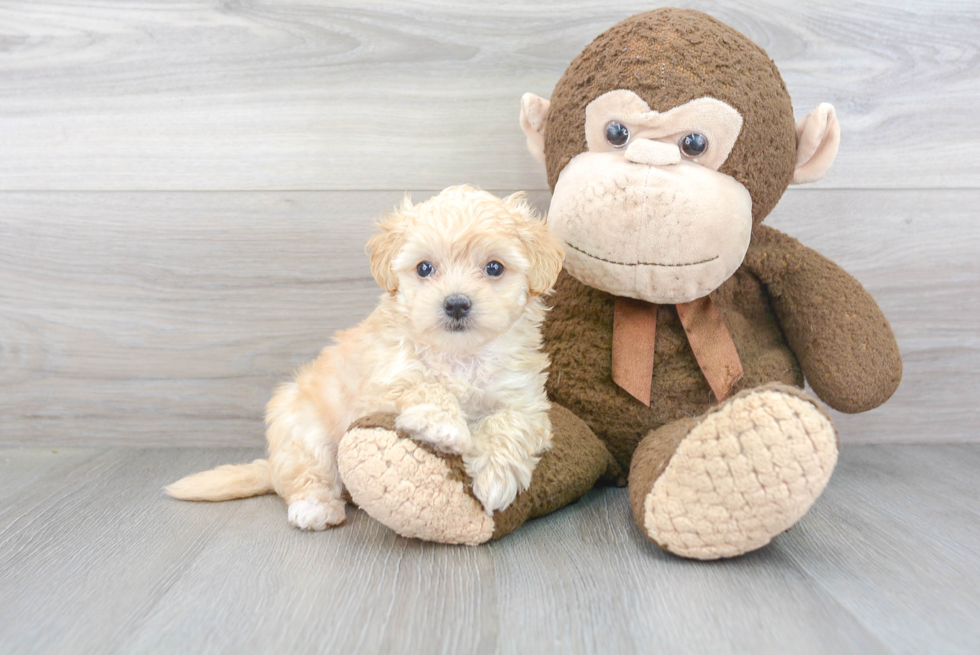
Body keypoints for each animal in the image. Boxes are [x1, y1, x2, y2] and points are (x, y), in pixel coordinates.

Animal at [167, 186, 568, 532]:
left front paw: (495, 477)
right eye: (424, 268)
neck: (459, 354)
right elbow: (420, 384)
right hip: (301, 430)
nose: (456, 303)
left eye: (494, 268)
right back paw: (315, 507)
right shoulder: (382, 377)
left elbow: (511, 424)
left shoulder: (525, 399)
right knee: (307, 475)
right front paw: (443, 425)